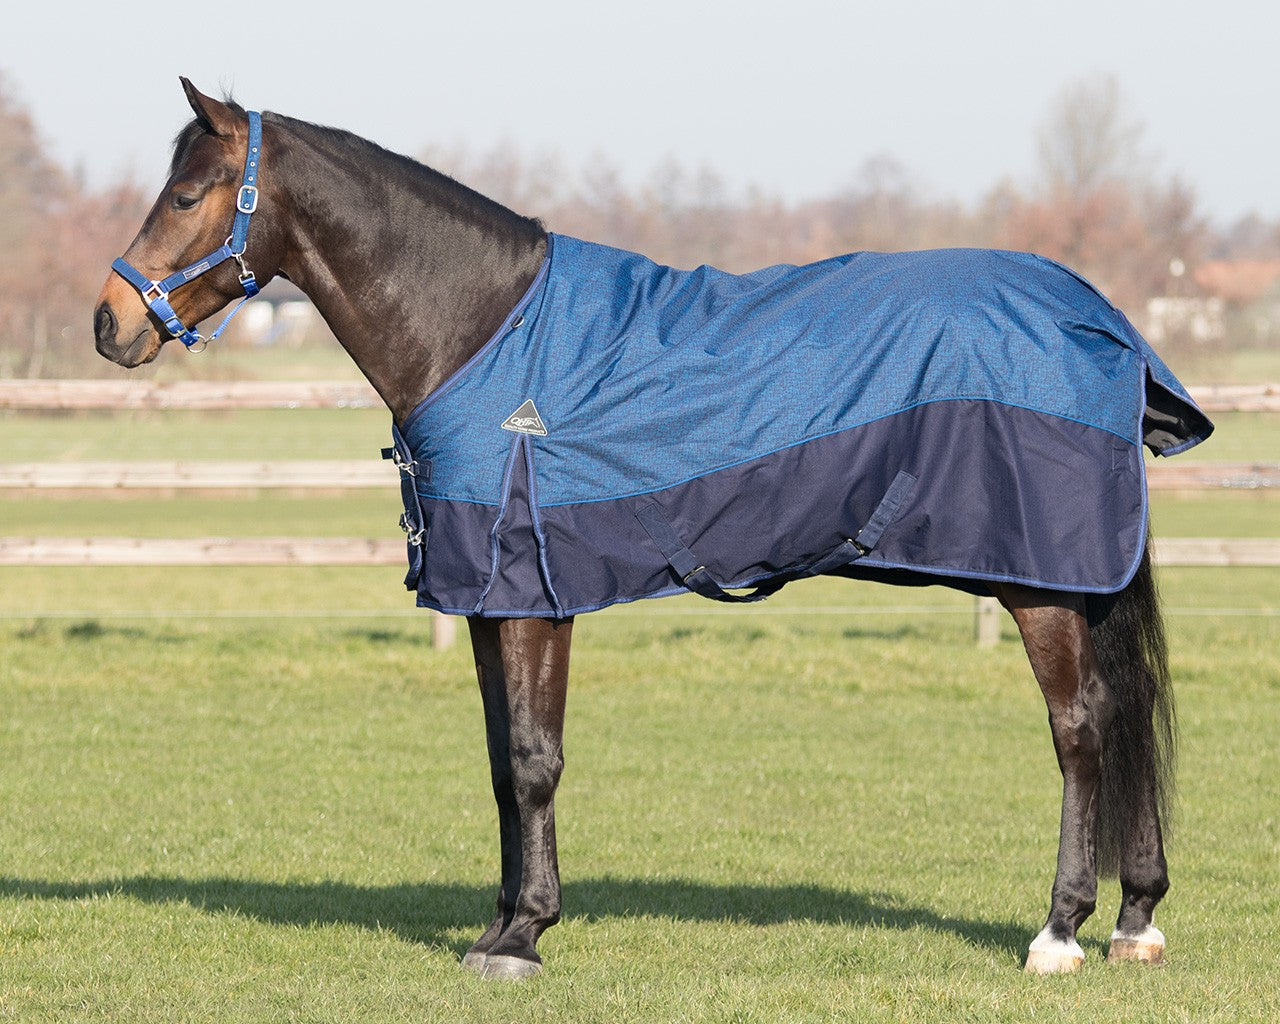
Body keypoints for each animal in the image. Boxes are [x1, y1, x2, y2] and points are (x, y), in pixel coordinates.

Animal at [94, 79, 1212, 980]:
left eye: (187, 195)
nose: (109, 322)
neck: (484, 332)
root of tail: (1100, 319)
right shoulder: (487, 600)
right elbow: (500, 765)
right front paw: (501, 920)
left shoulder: (535, 597)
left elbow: (535, 759)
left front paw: (523, 936)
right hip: (1079, 581)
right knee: (1120, 716)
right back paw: (1135, 918)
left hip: (1040, 583)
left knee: (1079, 734)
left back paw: (1058, 933)